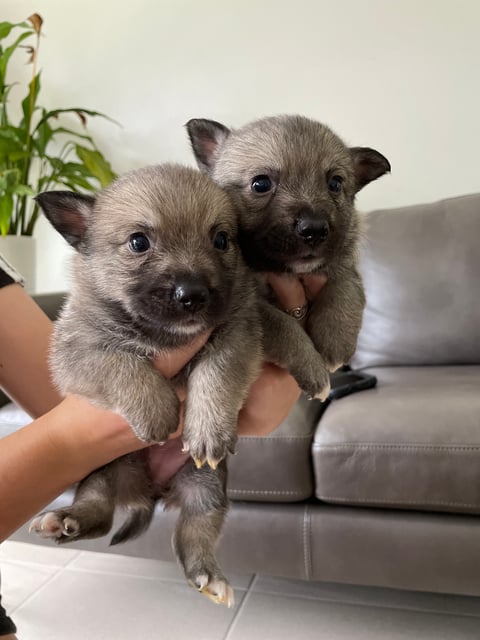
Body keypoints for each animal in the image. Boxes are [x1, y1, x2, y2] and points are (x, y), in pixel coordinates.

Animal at [29, 164, 262, 604]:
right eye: (139, 242)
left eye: (221, 240)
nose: (193, 294)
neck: (161, 335)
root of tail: (150, 492)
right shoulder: (76, 352)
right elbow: (120, 361)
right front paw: (156, 409)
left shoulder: (238, 335)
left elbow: (216, 372)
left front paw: (207, 426)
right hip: (103, 467)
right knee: (99, 508)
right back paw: (69, 519)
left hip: (205, 483)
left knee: (193, 531)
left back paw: (208, 575)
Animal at [186, 114, 392, 390]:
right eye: (260, 184)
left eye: (335, 183)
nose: (314, 229)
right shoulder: (251, 307)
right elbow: (283, 325)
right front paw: (313, 368)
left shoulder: (345, 259)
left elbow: (346, 284)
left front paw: (336, 339)